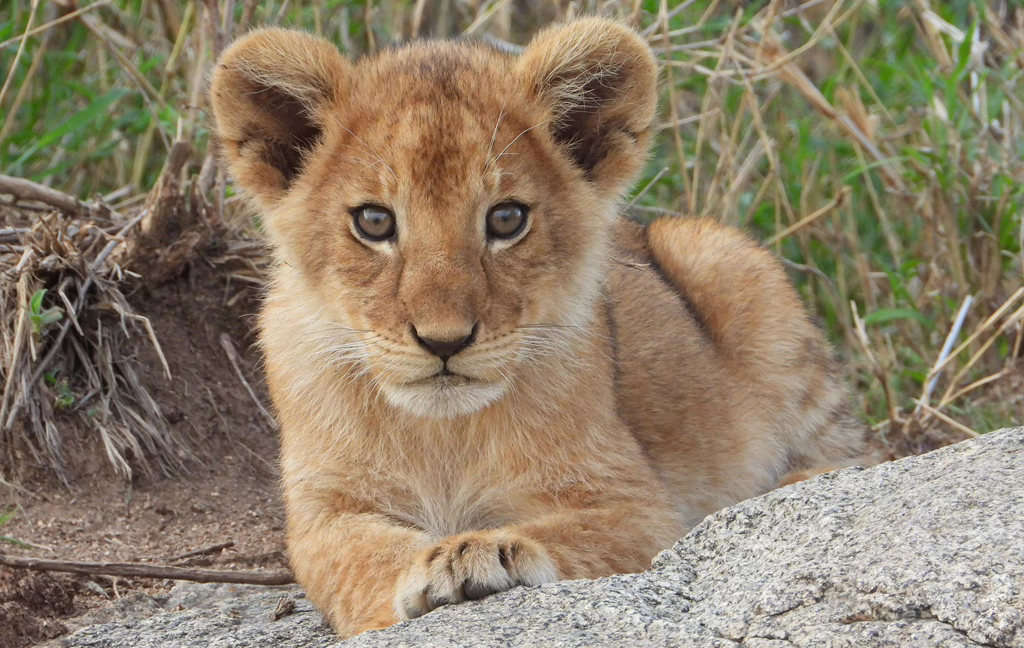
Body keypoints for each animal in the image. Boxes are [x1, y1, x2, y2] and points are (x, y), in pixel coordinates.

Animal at [209, 17, 865, 636]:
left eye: (506, 219)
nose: (444, 341)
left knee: (847, 452)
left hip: (727, 261)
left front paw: (481, 554)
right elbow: (360, 559)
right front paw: (421, 574)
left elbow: (573, 537)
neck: (442, 437)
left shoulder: (636, 505)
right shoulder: (325, 514)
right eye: (374, 221)